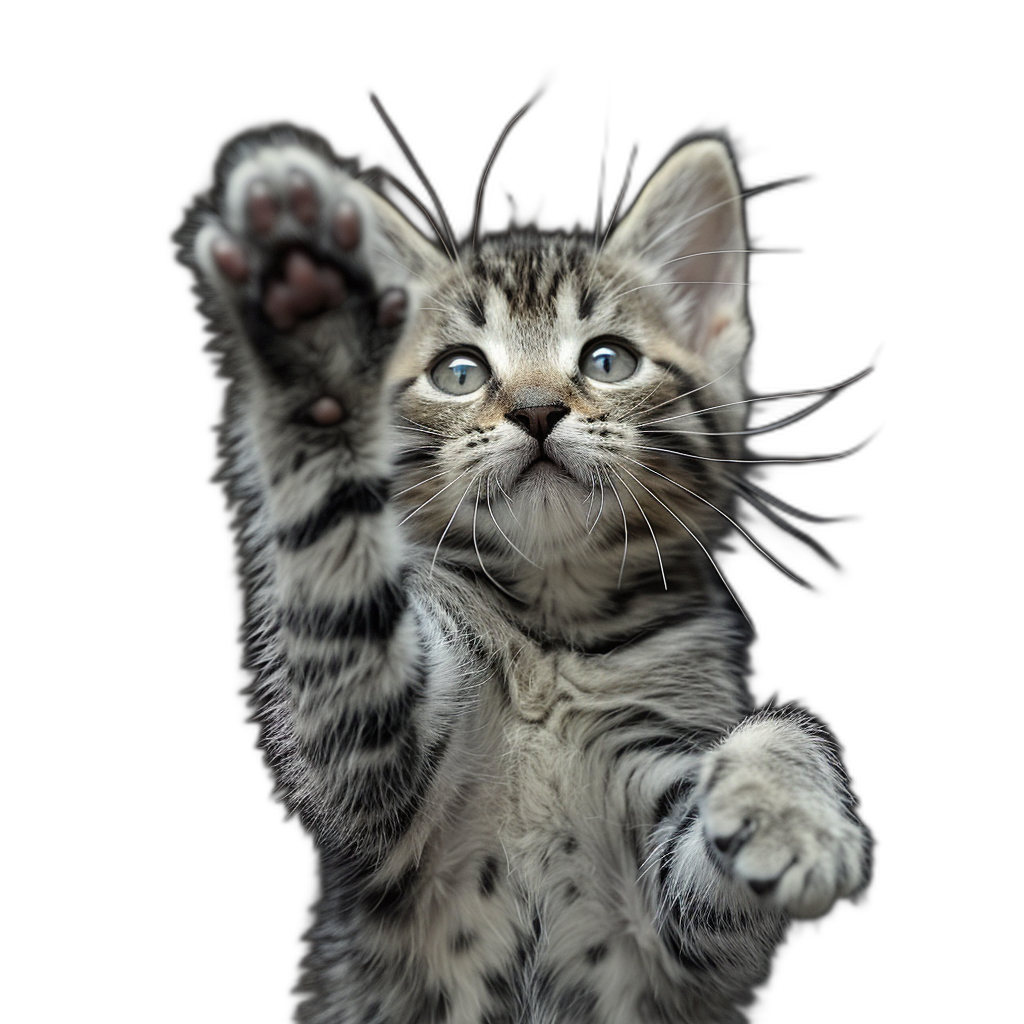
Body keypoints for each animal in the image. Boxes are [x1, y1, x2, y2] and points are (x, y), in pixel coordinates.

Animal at [188, 130, 868, 1024]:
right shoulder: (375, 772)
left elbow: (764, 754)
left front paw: (787, 809)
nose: (538, 409)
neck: (552, 629)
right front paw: (313, 325)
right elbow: (339, 580)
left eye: (608, 360)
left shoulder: (671, 921)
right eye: (461, 372)